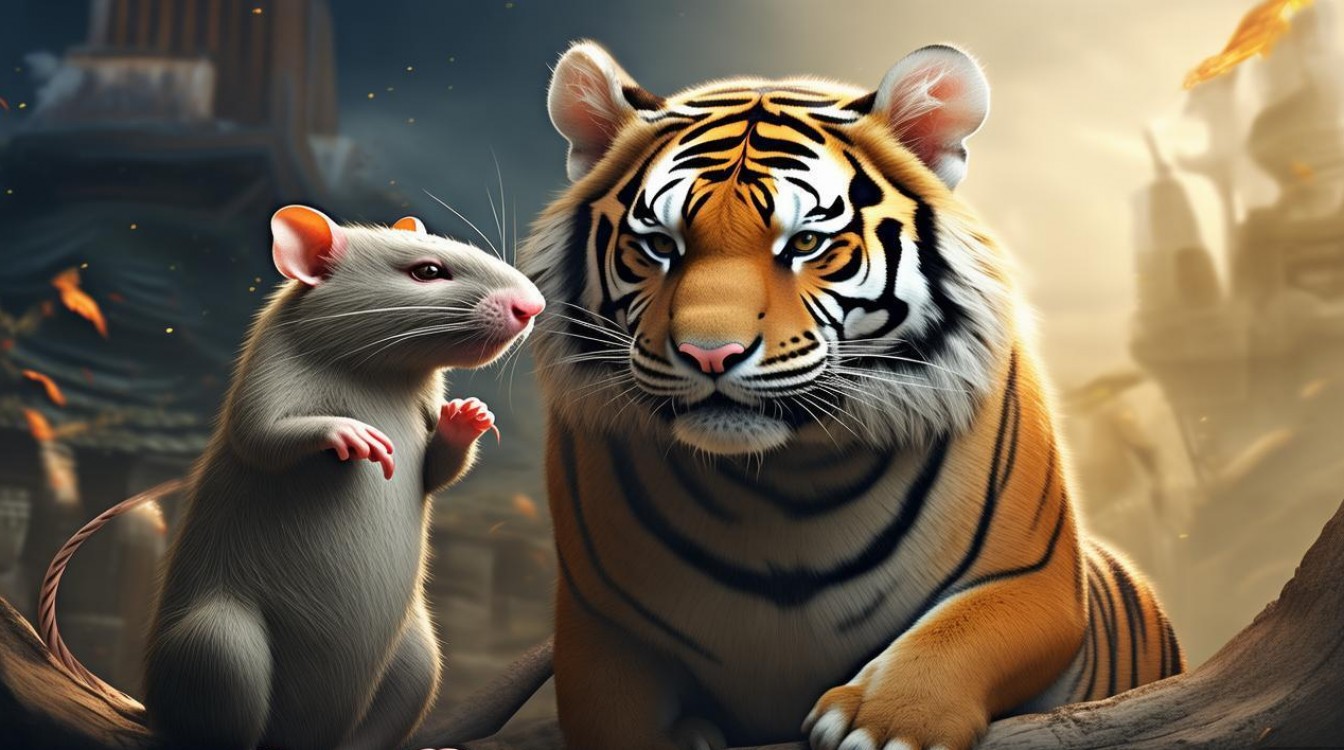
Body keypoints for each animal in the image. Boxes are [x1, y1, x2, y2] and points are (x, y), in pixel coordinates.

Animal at [519, 41, 1184, 750]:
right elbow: (615, 714)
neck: (782, 482)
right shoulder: (600, 622)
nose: (709, 355)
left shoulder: (1035, 582)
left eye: (807, 243)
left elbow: (956, 635)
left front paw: (884, 723)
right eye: (658, 246)